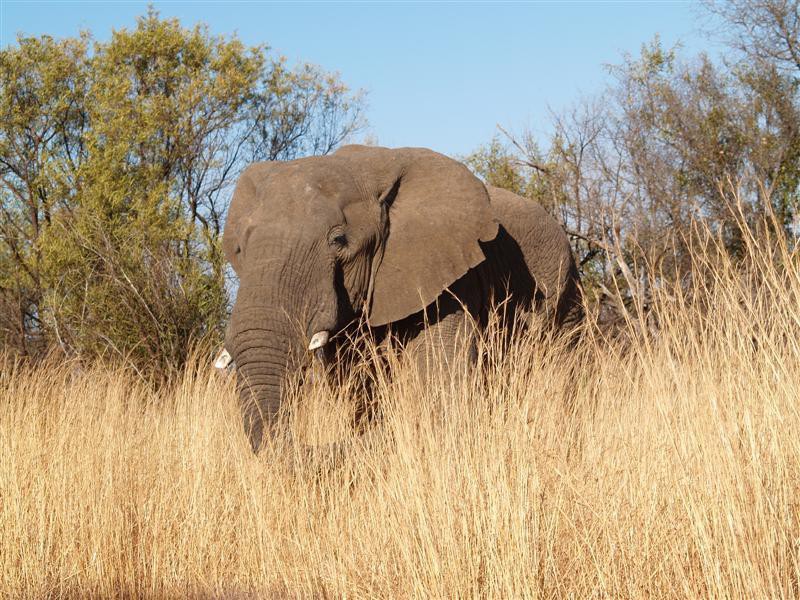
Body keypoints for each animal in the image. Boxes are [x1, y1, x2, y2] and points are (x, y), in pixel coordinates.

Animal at [217, 145, 580, 452]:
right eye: (240, 247)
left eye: (338, 240)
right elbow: (361, 385)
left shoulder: (448, 273)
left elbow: (440, 381)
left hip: (565, 292)